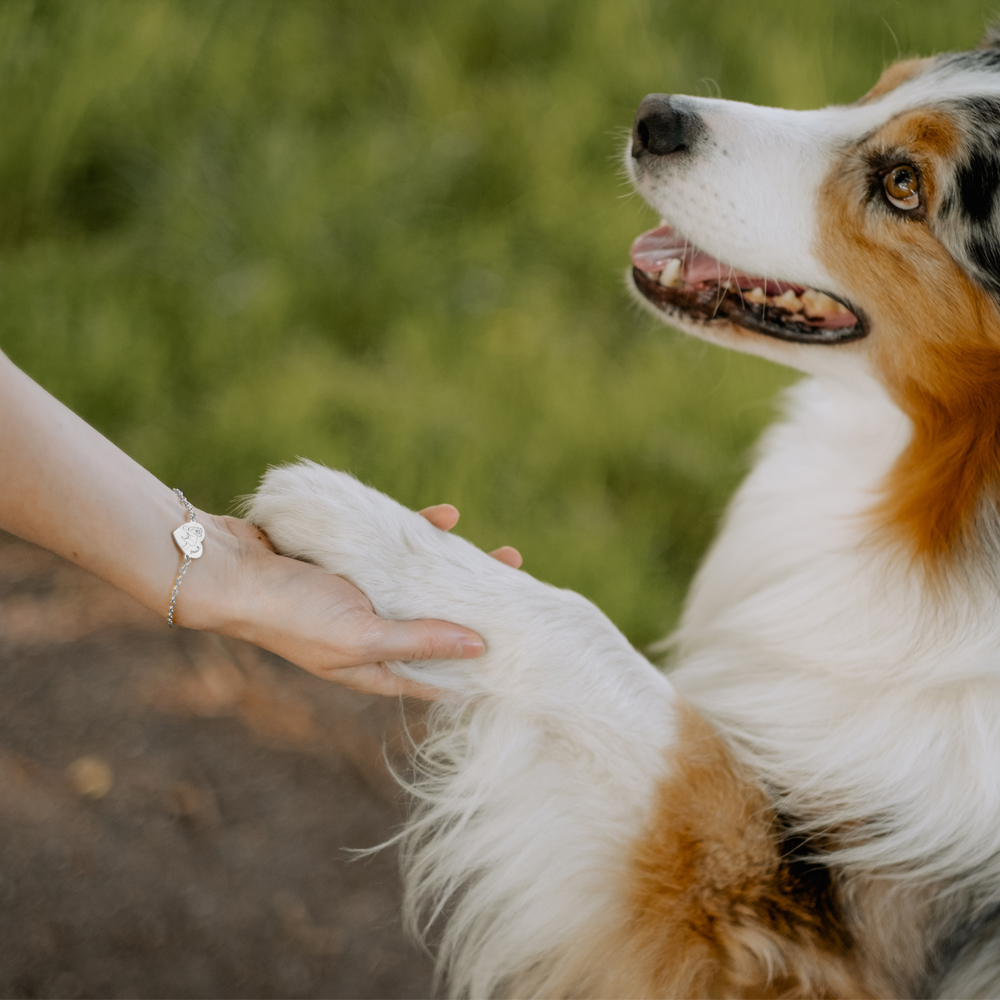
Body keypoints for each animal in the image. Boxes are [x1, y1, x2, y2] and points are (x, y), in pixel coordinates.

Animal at [242, 25, 1000, 1000]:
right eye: (880, 86)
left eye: (903, 185)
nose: (656, 119)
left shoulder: (811, 936)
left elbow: (598, 643)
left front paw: (372, 528)